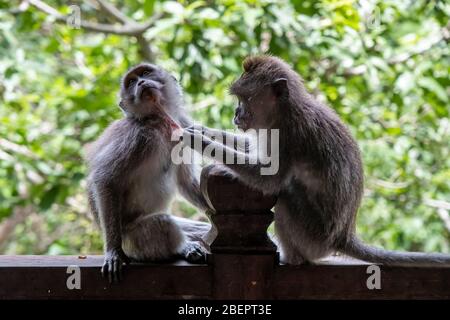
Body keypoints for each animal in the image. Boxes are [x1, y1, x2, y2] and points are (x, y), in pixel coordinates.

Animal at [86, 63, 213, 282]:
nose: (141, 83)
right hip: (131, 242)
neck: (160, 120)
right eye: (131, 82)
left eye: (145, 73)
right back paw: (184, 248)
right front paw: (112, 252)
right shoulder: (137, 137)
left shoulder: (184, 126)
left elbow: (185, 181)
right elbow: (105, 178)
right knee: (163, 224)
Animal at [183, 55, 450, 268]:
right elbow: (251, 148)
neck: (284, 110)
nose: (236, 114)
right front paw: (203, 130)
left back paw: (291, 259)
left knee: (285, 197)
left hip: (313, 238)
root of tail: (343, 237)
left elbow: (269, 179)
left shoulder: (289, 136)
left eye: (245, 99)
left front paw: (200, 142)